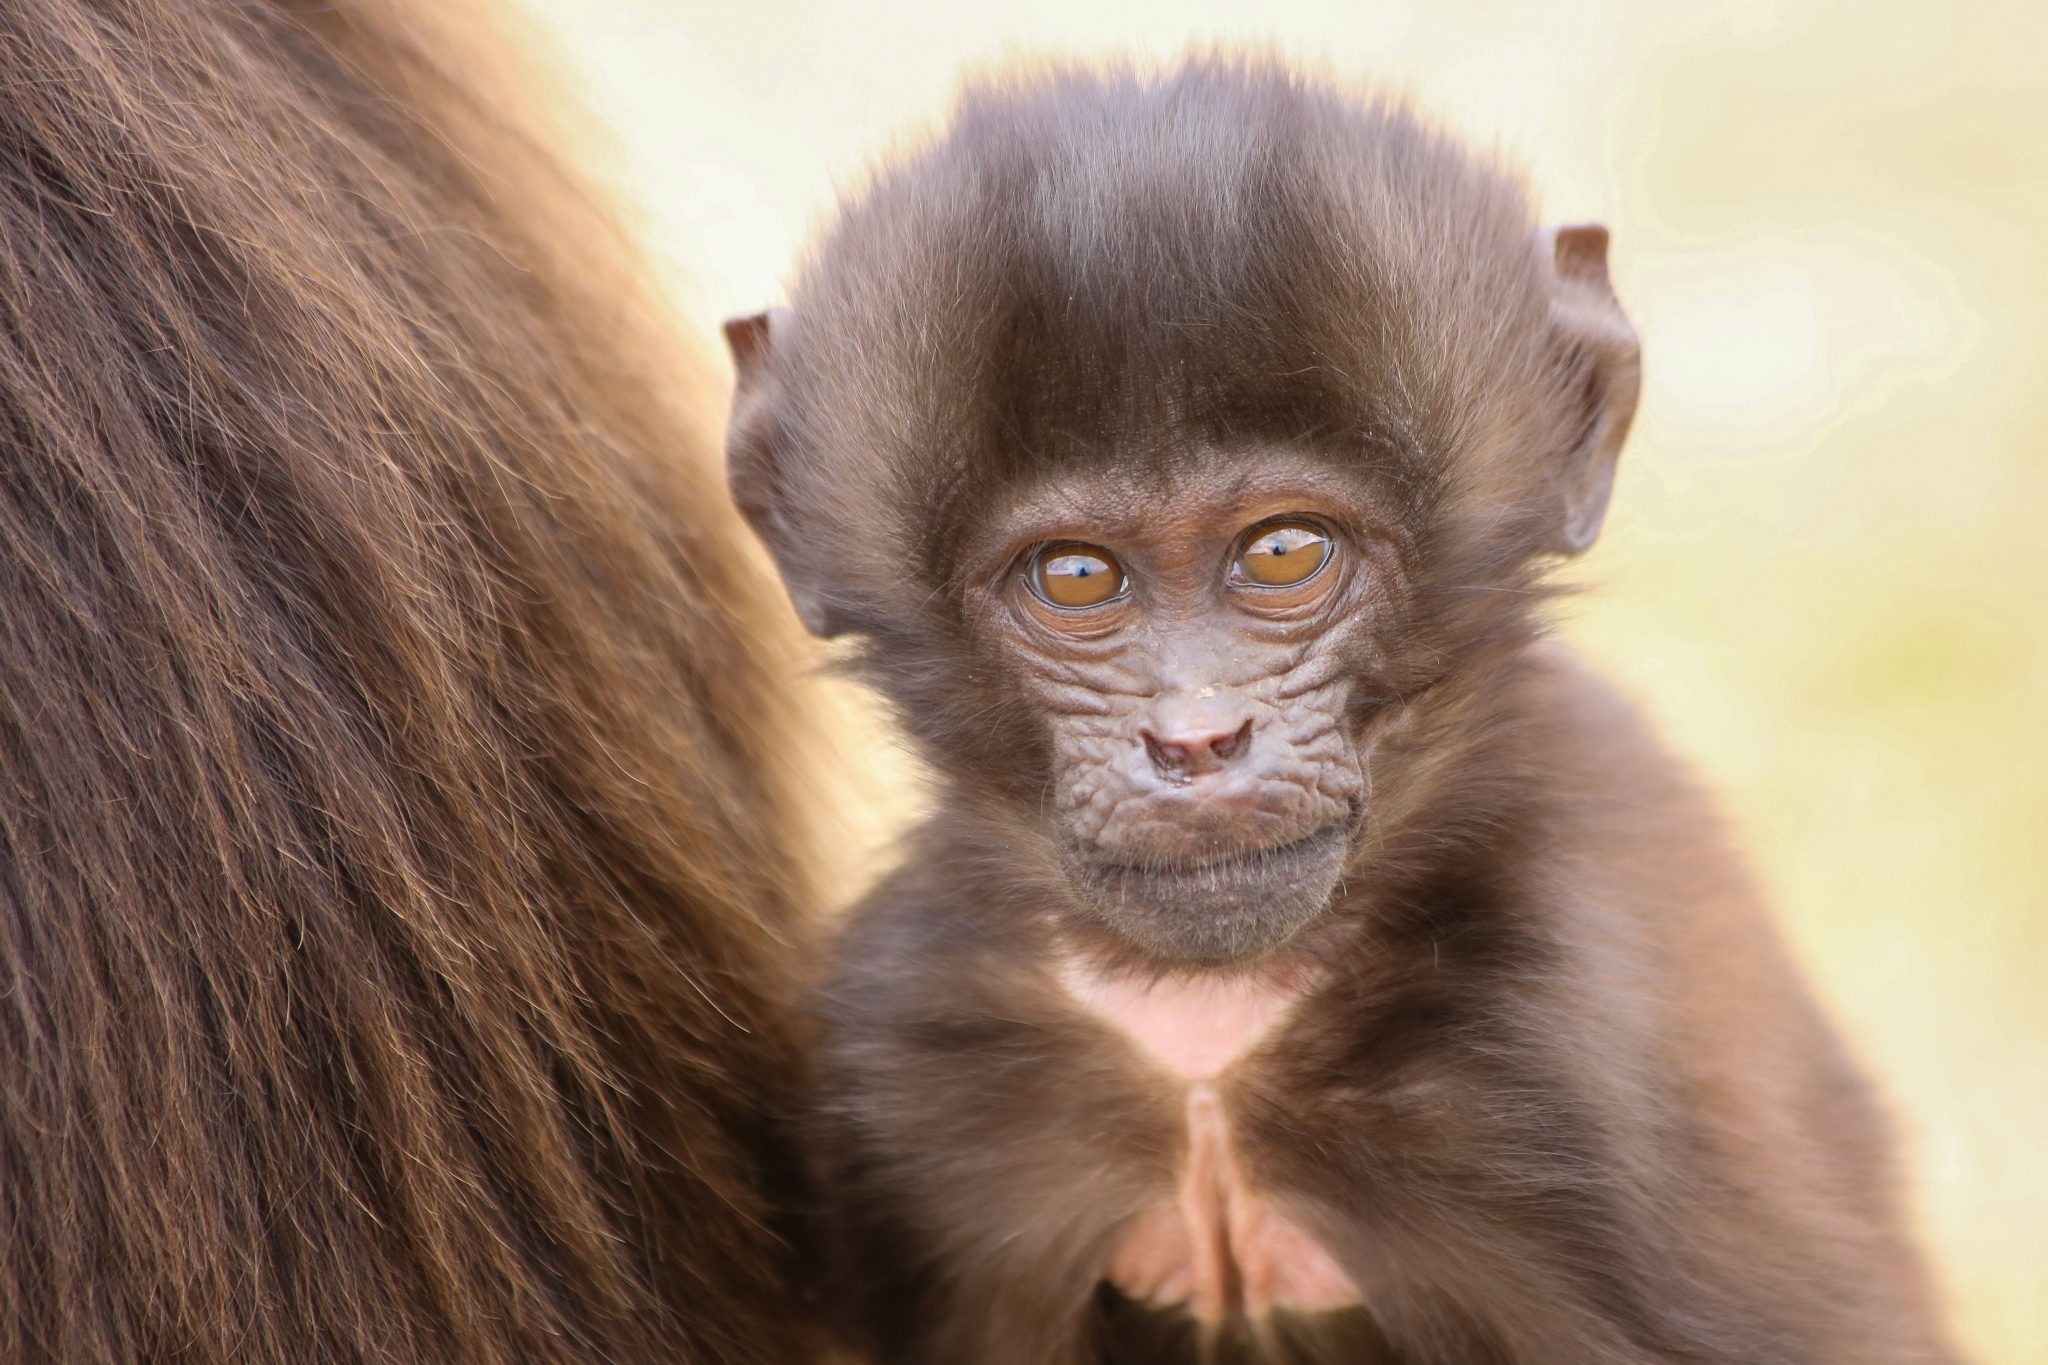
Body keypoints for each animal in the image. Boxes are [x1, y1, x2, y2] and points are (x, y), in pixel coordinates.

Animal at [724, 59, 1961, 1364]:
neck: (1207, 1049)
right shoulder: (924, 1055)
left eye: (1281, 553)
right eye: (1074, 576)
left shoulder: (1569, 1047)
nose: (1196, 739)